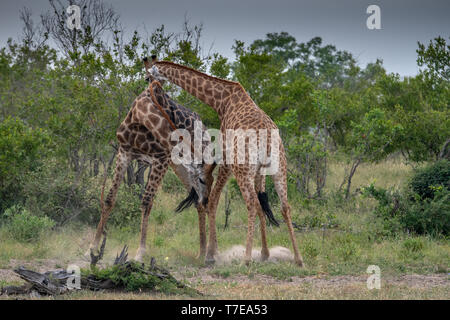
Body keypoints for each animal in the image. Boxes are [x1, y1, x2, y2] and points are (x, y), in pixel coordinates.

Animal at [87, 73, 217, 262]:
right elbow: (110, 198)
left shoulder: (161, 158)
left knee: (208, 202)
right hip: (180, 167)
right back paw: (201, 252)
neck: (137, 118)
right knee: (199, 203)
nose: (178, 140)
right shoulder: (124, 152)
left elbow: (147, 201)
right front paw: (92, 248)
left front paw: (140, 253)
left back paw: (212, 253)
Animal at [147, 55, 302, 268]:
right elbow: (263, 206)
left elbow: (213, 200)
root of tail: (268, 140)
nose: (149, 89)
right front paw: (265, 253)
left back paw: (246, 258)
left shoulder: (226, 161)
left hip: (243, 169)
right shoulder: (259, 171)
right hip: (279, 167)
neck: (221, 100)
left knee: (251, 203)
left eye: (148, 76)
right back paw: (298, 259)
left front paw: (211, 255)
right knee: (284, 206)